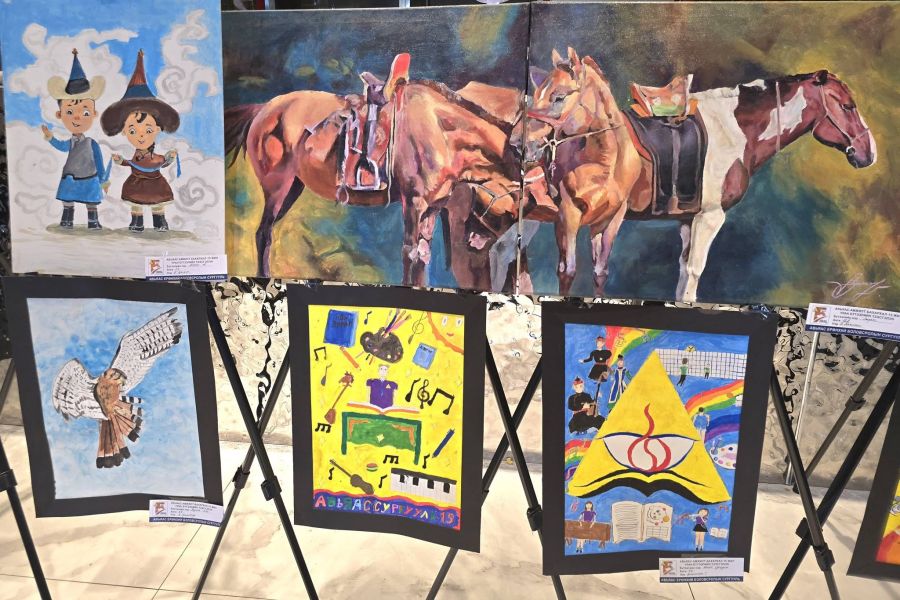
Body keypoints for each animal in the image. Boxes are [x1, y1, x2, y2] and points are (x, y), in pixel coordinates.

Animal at [225, 79, 524, 284]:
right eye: (509, 211)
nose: (474, 241)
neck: (440, 128)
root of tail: (265, 108)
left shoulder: (433, 206)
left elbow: (423, 254)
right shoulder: (413, 202)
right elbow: (410, 252)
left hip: (293, 187)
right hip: (277, 186)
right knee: (263, 234)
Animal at [524, 47, 877, 301]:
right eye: (847, 106)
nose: (868, 152)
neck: (732, 129)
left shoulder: (687, 218)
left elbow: (683, 275)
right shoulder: (710, 216)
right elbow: (694, 272)